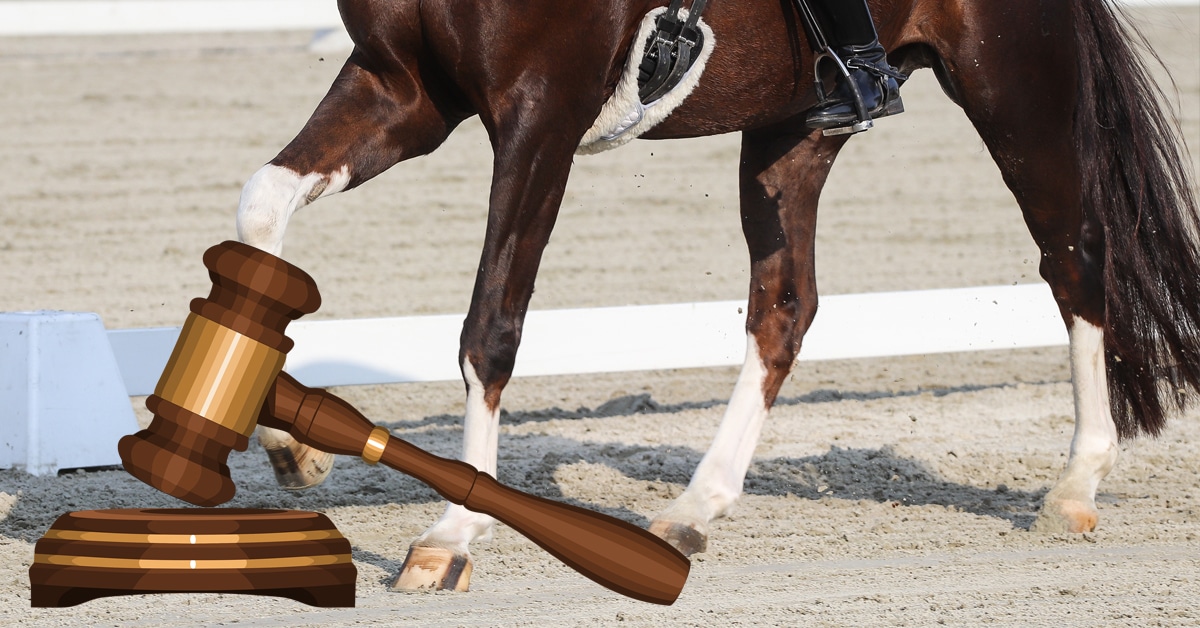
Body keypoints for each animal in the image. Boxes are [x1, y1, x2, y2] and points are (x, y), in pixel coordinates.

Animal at [235, 0, 1200, 593]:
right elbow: (261, 201)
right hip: (792, 123)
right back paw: (692, 512)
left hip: (1015, 81)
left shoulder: (540, 111)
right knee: (785, 308)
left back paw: (1074, 486)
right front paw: (289, 443)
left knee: (1076, 260)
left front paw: (450, 537)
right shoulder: (403, 89)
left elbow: (492, 325)